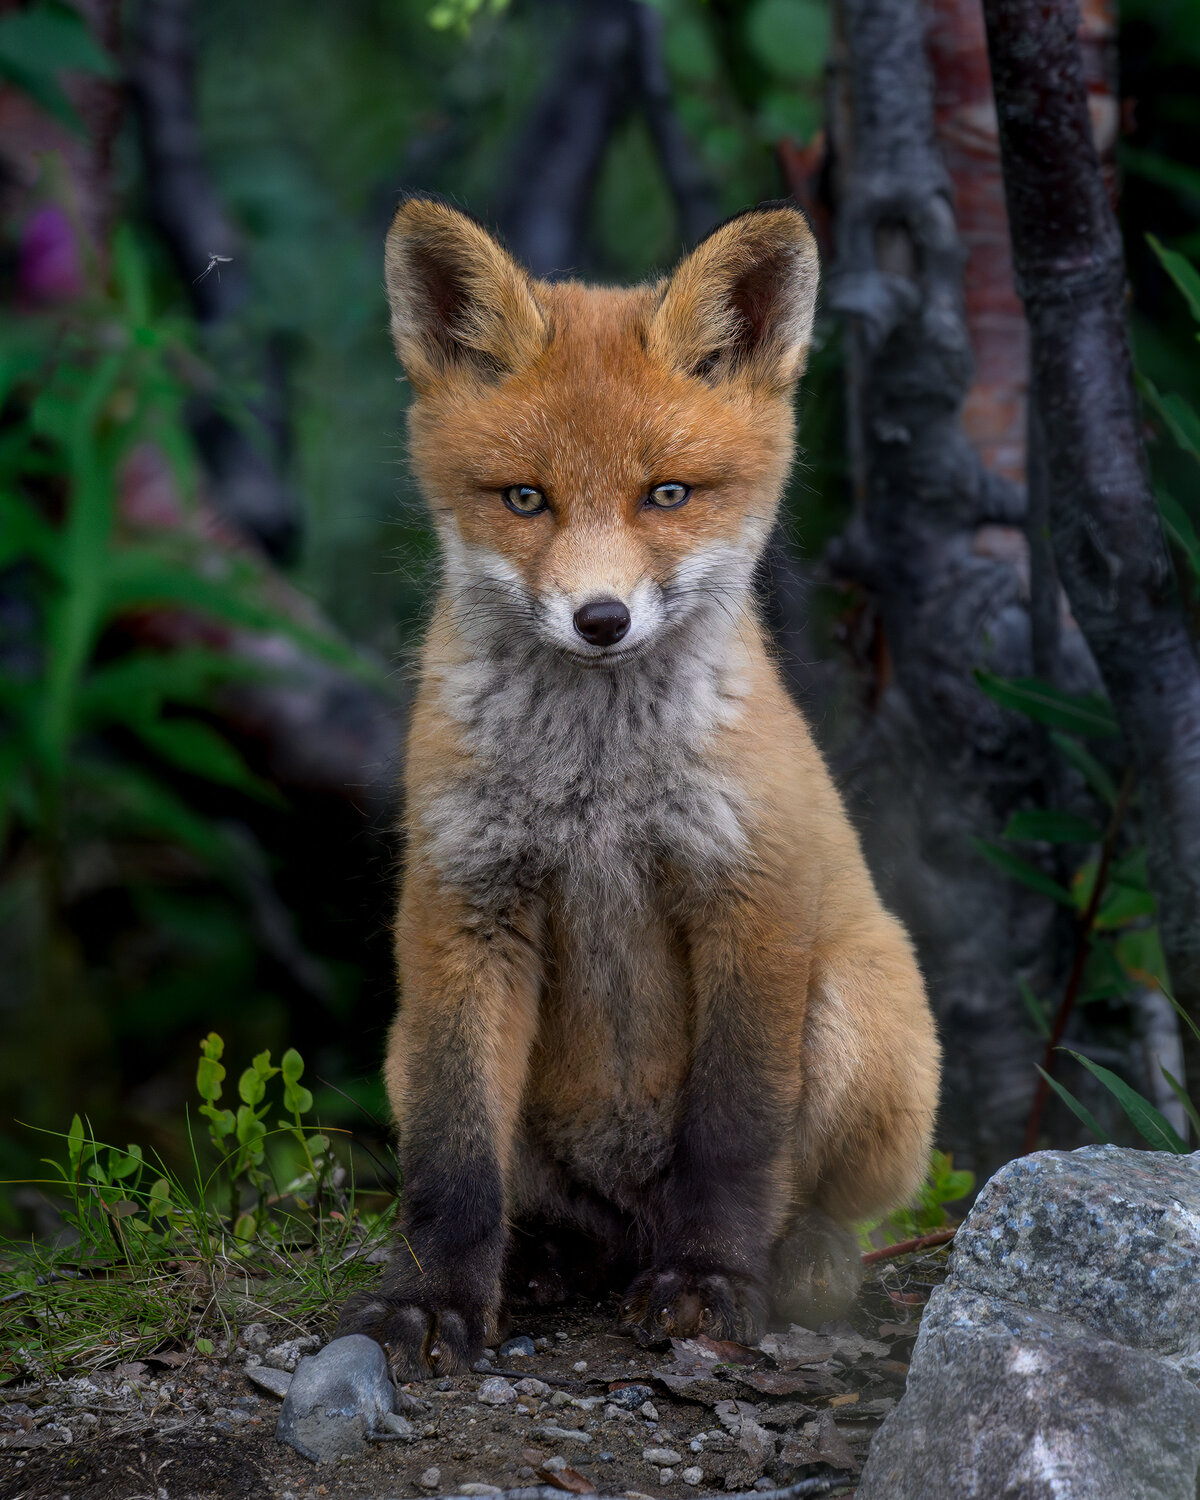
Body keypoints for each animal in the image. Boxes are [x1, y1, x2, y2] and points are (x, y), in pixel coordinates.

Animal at [337, 195, 941, 1379]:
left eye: (667, 494)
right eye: (526, 498)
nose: (601, 619)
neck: (597, 792)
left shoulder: (749, 899)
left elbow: (737, 1134)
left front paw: (710, 1281)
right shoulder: (462, 907)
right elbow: (453, 1158)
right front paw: (435, 1298)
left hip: (862, 1004)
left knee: (820, 1202)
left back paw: (802, 1262)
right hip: (404, 1051)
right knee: (550, 1207)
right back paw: (545, 1260)